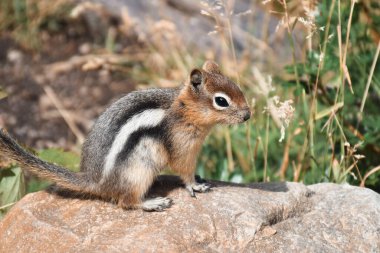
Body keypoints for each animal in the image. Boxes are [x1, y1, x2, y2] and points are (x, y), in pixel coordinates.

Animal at [0, 61, 251, 211]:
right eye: (221, 101)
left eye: (237, 86)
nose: (248, 115)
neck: (184, 109)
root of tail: (94, 180)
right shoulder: (183, 147)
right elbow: (184, 170)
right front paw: (195, 186)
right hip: (137, 174)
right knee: (125, 202)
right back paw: (153, 203)